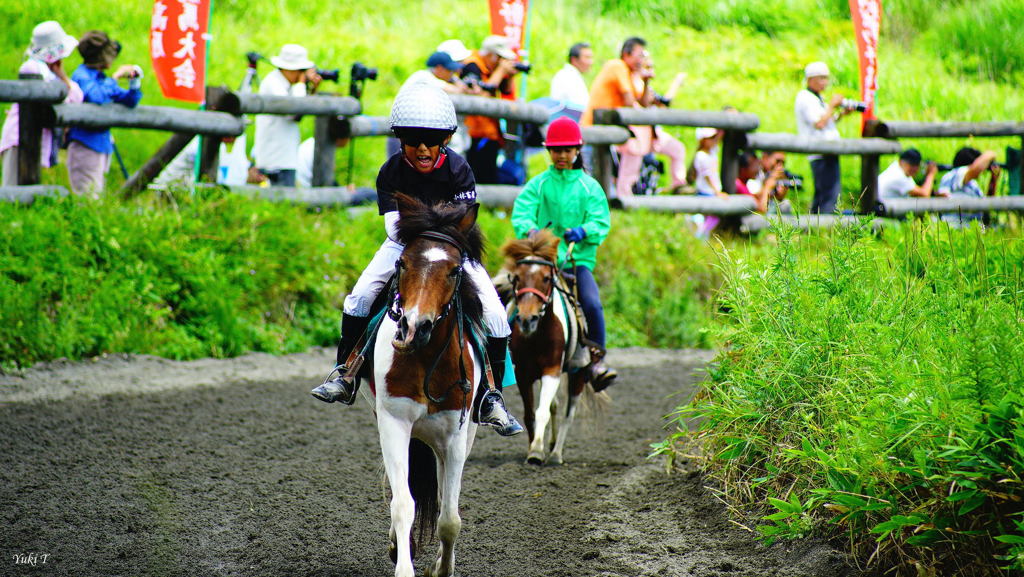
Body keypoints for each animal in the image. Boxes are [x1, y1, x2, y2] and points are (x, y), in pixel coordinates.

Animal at [370, 192, 485, 577]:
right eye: (402, 263)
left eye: (454, 270)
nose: (413, 327)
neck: (426, 360)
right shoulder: (393, 421)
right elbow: (403, 503)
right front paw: (403, 563)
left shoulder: (455, 436)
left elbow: (449, 518)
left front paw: (442, 568)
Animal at [499, 230, 598, 465]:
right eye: (517, 277)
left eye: (545, 278)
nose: (527, 319)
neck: (536, 336)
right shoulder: (523, 374)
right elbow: (530, 415)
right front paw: (533, 449)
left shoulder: (552, 370)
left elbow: (542, 411)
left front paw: (537, 450)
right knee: (554, 406)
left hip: (578, 373)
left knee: (568, 414)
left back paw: (556, 454)